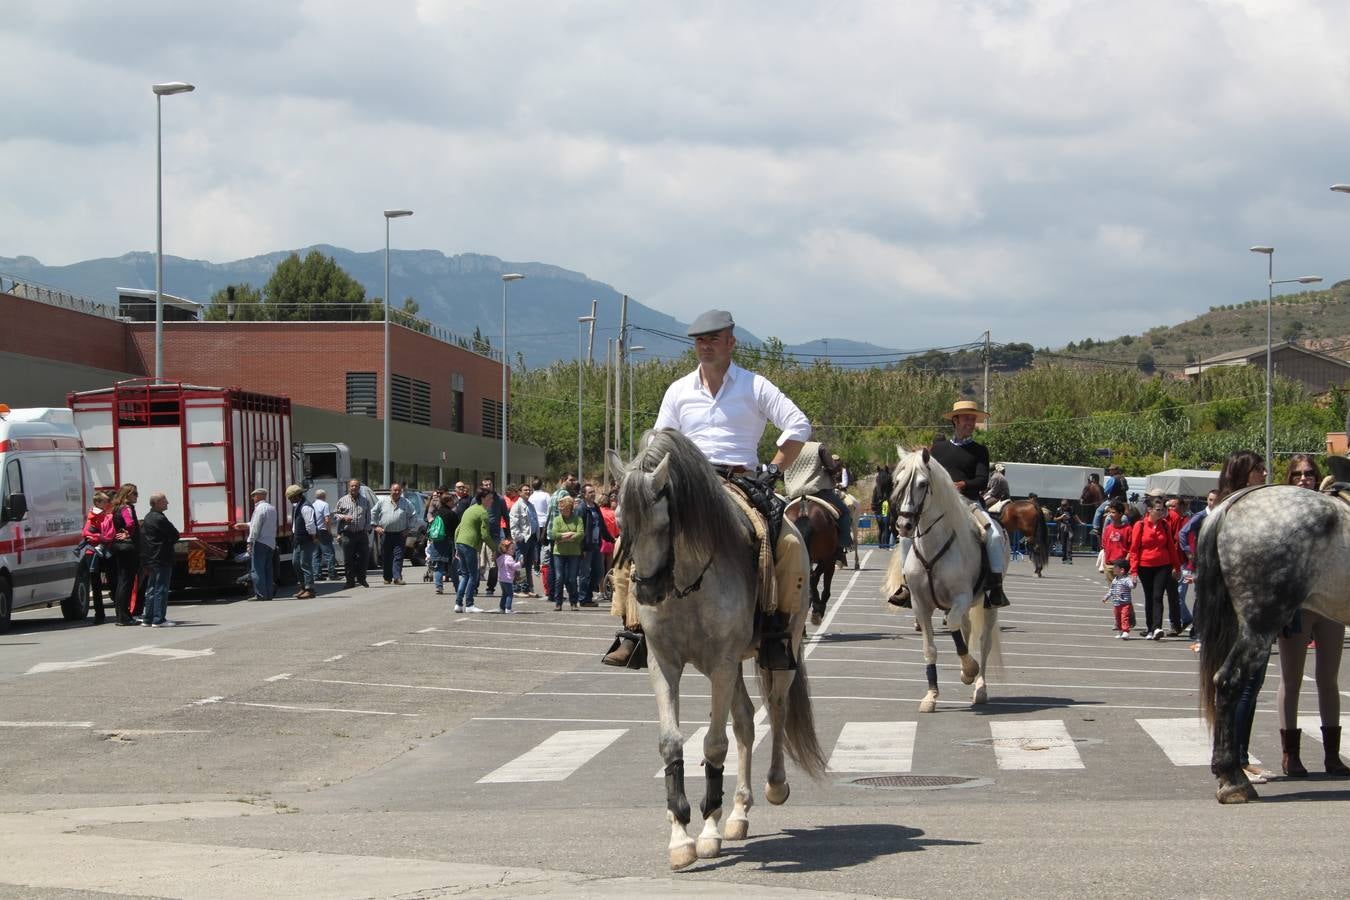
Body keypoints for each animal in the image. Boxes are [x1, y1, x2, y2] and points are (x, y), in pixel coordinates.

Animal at [610, 431, 820, 874]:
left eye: (665, 522)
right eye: (620, 522)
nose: (646, 592)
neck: (687, 582)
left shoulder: (722, 665)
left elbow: (713, 745)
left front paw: (707, 831)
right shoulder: (664, 663)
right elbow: (672, 743)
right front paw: (680, 835)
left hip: (777, 654)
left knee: (775, 711)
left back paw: (774, 786)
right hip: (733, 666)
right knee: (745, 722)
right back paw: (738, 813)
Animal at [885, 447, 1004, 712]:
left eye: (922, 484)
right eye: (898, 482)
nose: (904, 524)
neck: (933, 547)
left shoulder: (961, 597)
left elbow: (952, 625)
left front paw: (969, 669)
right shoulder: (920, 605)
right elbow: (931, 649)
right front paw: (931, 696)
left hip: (987, 605)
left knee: (984, 641)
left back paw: (980, 688)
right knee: (967, 628)